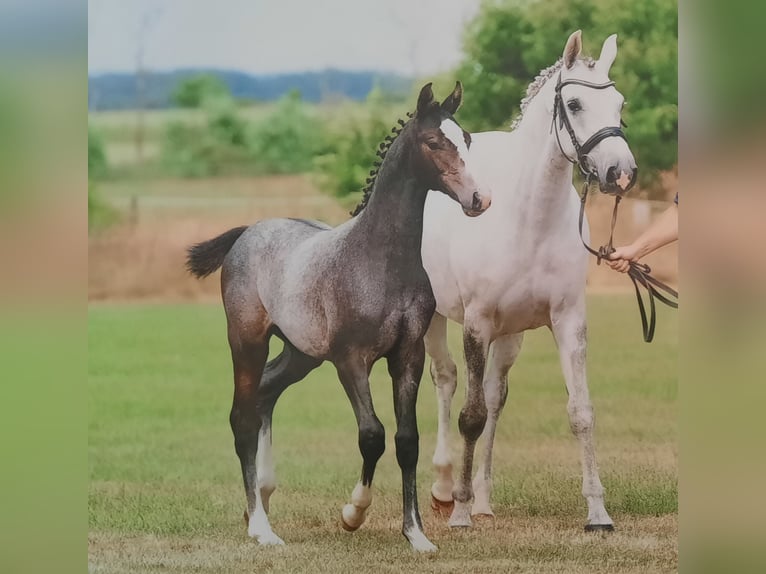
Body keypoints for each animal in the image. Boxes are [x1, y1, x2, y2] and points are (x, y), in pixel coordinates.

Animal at [186, 82, 492, 552]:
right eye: (433, 141)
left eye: (468, 139)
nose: (479, 200)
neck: (379, 259)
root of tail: (248, 232)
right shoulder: (351, 361)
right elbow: (372, 435)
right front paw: (353, 513)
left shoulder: (407, 356)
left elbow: (406, 441)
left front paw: (416, 534)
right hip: (248, 342)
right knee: (242, 417)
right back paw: (261, 527)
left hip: (301, 354)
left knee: (265, 395)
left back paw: (261, 500)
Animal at [424, 31, 640, 532]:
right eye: (574, 104)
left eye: (620, 104)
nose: (621, 173)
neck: (527, 217)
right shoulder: (476, 324)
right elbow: (469, 415)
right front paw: (459, 513)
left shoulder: (568, 321)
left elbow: (580, 412)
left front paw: (598, 513)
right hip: (435, 320)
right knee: (445, 381)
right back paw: (445, 490)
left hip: (510, 337)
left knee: (494, 396)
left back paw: (483, 500)